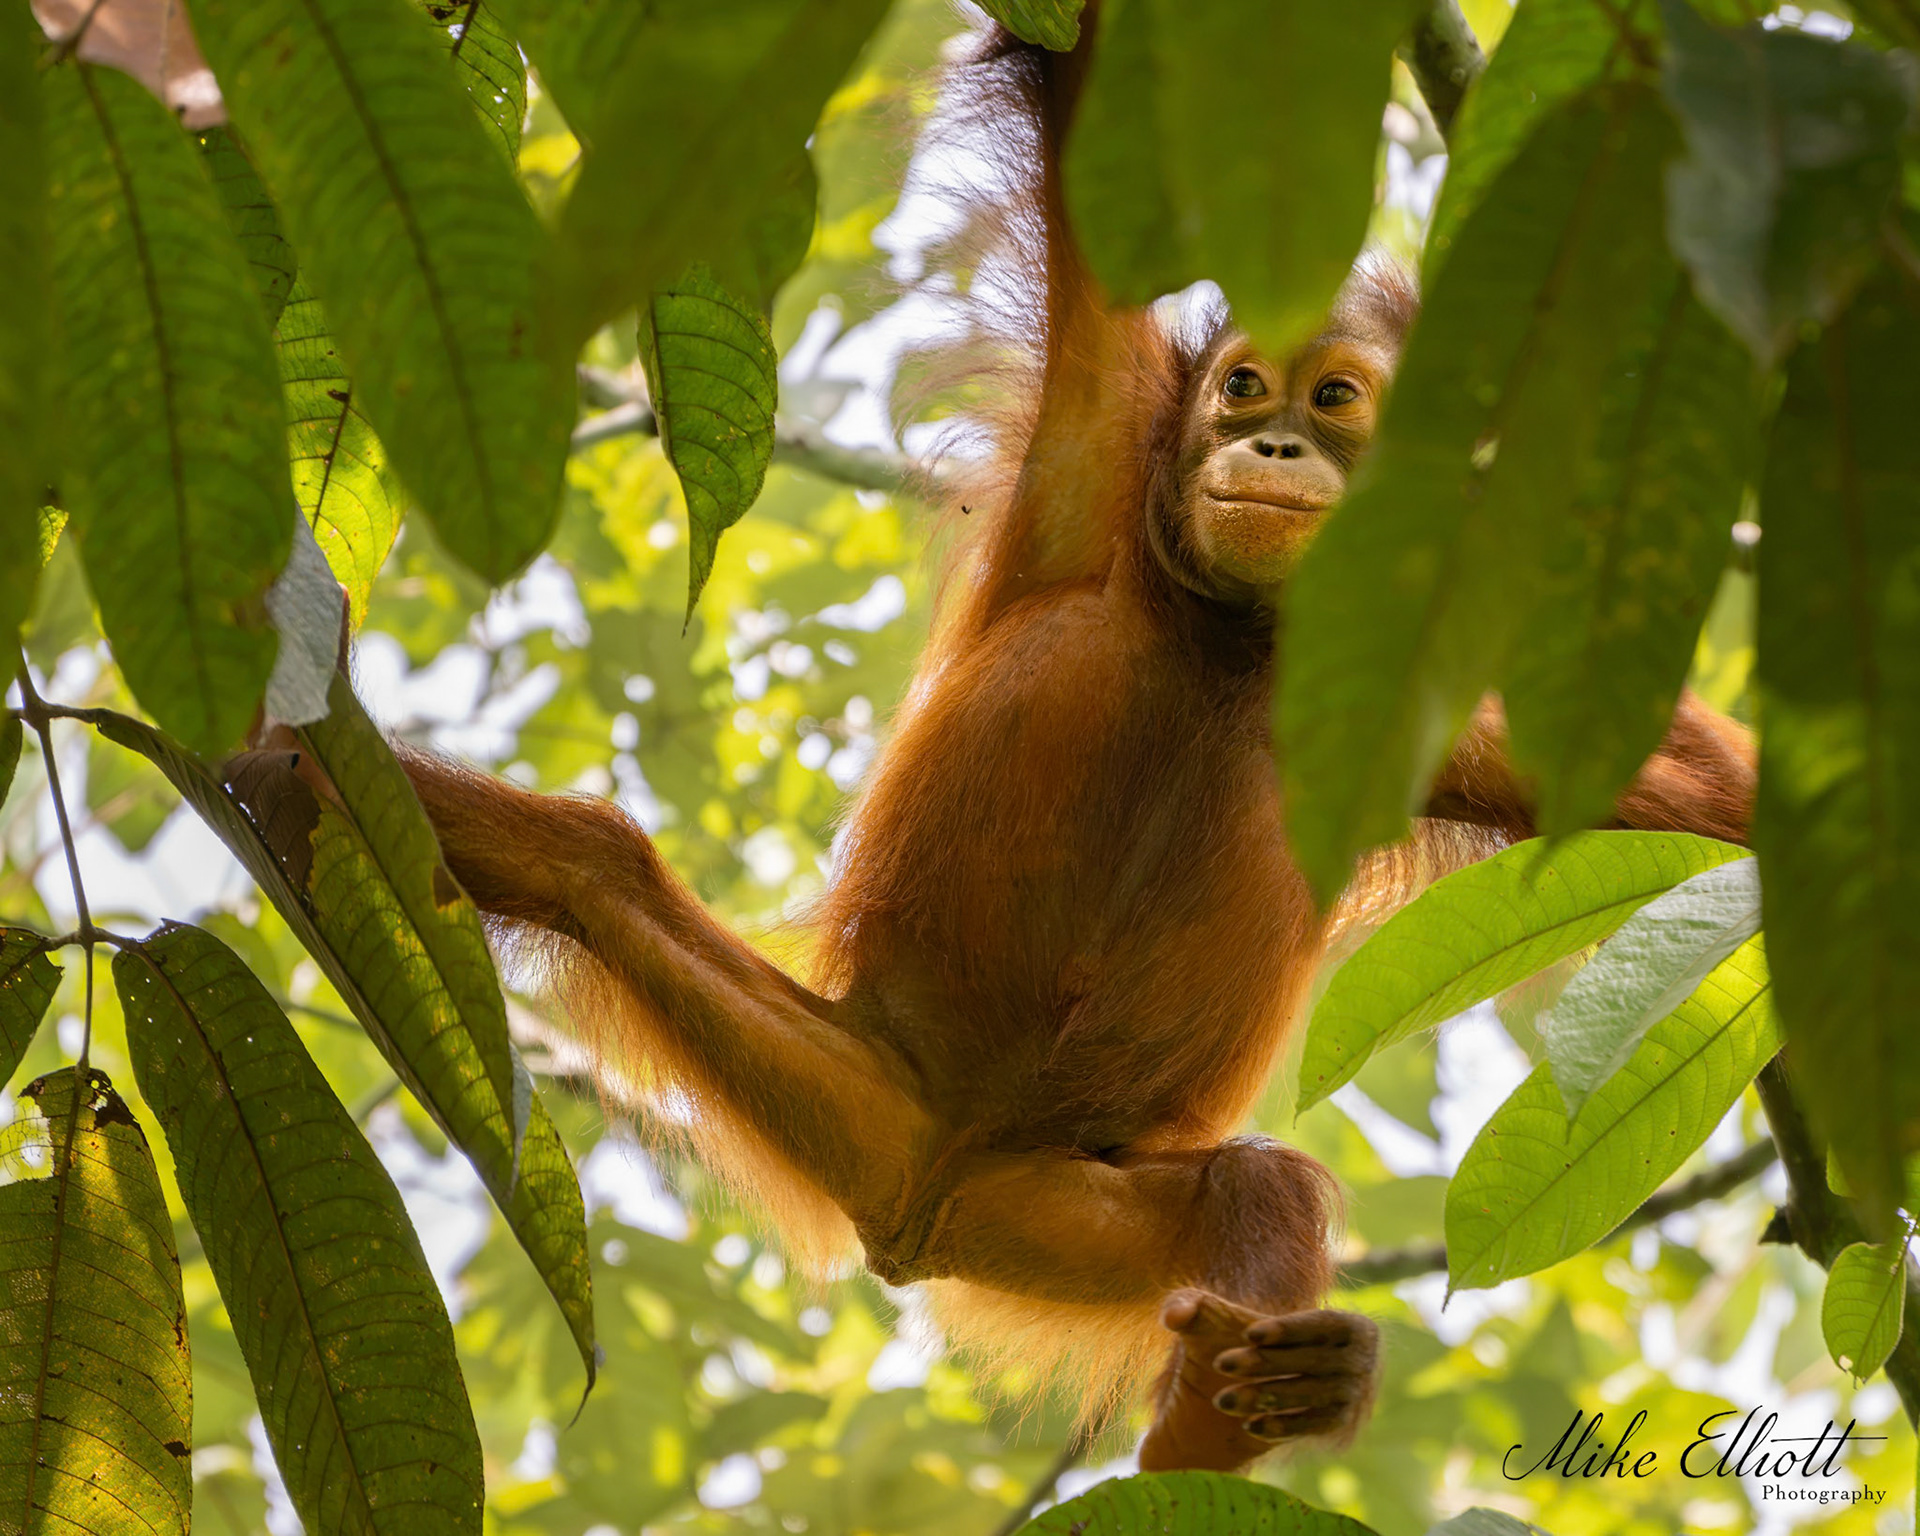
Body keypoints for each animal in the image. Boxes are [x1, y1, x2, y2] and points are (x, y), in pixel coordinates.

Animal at [389, 27, 1756, 1473]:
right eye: (1243, 387)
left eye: (1334, 398)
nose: (1272, 441)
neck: (1235, 639)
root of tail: (922, 1194)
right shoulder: (1107, 425)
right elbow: (1073, 87)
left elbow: (1711, 807)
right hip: (847, 1090)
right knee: (585, 868)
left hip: (1047, 1209)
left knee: (1253, 1187)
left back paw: (1243, 1406)